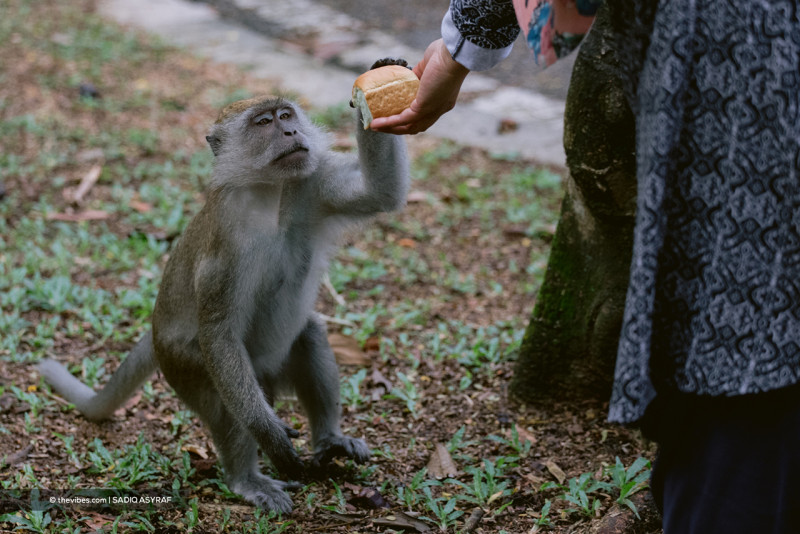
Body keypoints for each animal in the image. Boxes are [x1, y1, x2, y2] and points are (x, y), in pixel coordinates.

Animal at [38, 86, 410, 513]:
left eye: (286, 115)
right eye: (264, 123)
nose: (291, 132)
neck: (269, 193)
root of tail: (155, 333)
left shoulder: (314, 183)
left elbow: (379, 192)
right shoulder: (227, 245)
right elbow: (220, 333)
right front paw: (272, 439)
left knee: (310, 333)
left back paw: (329, 441)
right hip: (186, 366)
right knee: (223, 396)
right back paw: (246, 479)